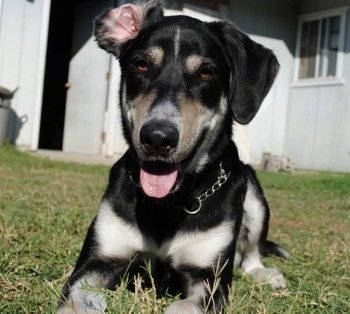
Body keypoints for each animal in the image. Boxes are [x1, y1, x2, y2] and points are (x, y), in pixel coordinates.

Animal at [56, 1, 288, 312]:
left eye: (206, 73)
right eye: (141, 65)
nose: (157, 137)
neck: (166, 205)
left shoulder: (210, 279)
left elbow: (181, 305)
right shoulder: (96, 262)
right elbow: (75, 300)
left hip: (255, 197)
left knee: (250, 255)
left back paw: (267, 274)